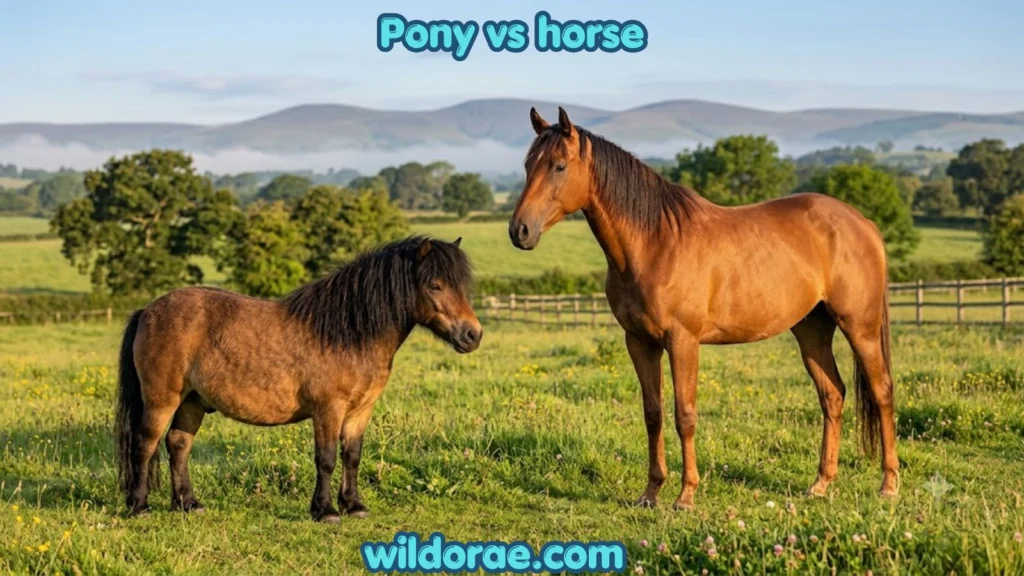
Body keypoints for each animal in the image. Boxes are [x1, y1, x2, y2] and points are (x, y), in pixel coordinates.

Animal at [115, 236, 482, 522]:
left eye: (461, 286)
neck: (347, 333)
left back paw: (188, 504)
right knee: (145, 444)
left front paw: (354, 506)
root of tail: (147, 311)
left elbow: (352, 456)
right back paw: (139, 506)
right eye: (435, 285)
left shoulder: (360, 411)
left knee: (178, 444)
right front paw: (326, 511)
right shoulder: (328, 410)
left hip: (192, 401)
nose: (472, 335)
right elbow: (326, 458)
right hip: (162, 399)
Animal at [509, 107, 898, 510]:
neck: (654, 243)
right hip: (812, 330)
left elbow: (685, 414)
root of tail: (863, 223)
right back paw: (821, 483)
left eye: (558, 166)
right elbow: (653, 414)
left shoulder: (683, 341)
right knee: (832, 395)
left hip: (860, 327)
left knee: (882, 390)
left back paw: (888, 485)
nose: (519, 231)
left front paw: (686, 495)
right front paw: (651, 492)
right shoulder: (639, 342)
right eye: (528, 165)